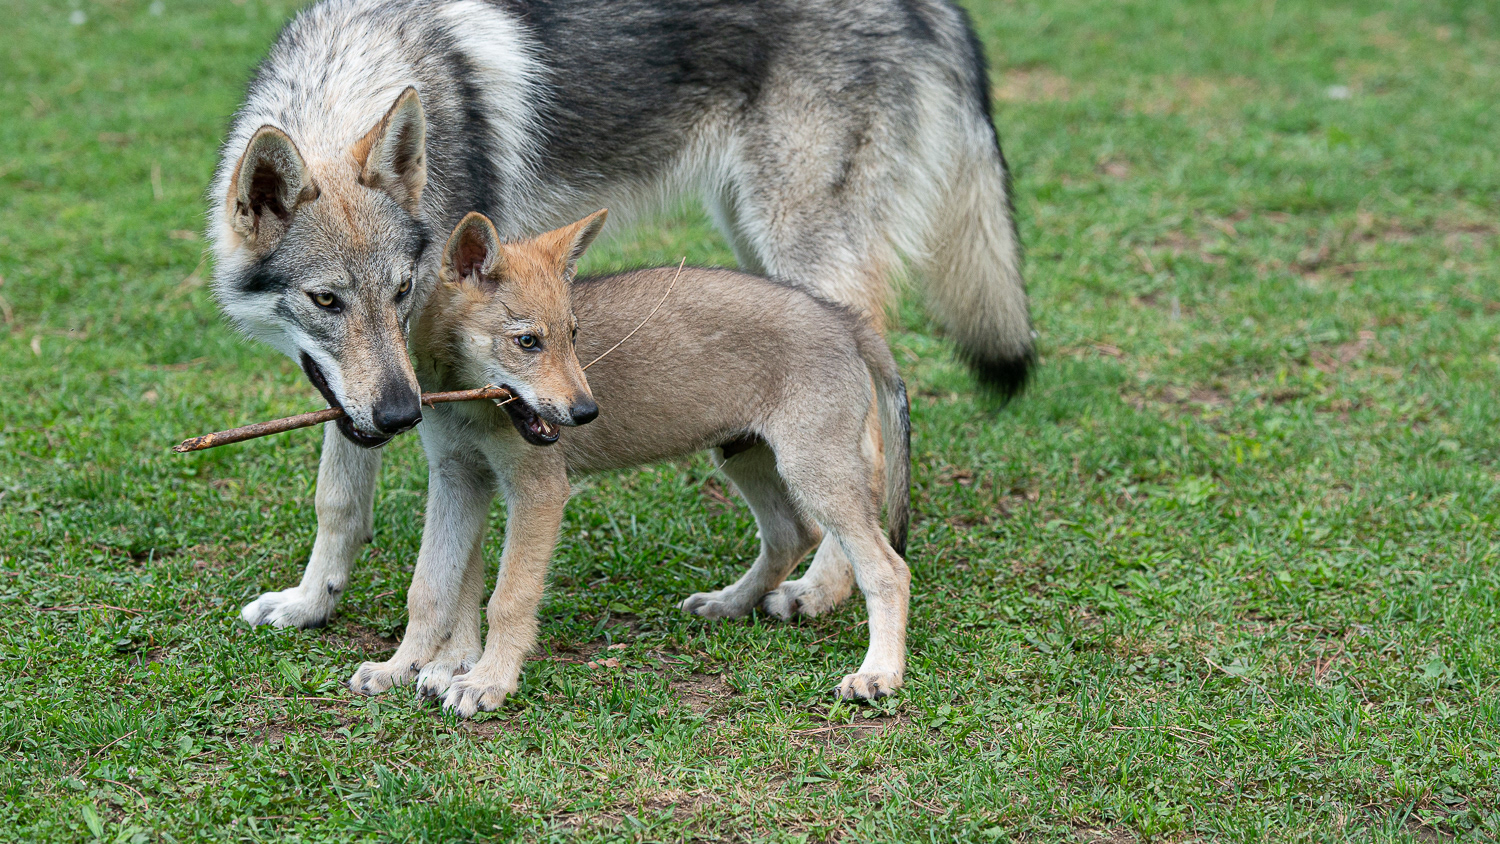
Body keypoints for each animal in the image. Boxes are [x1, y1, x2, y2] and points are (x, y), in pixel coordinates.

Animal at [211, 0, 1029, 633]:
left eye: (403, 291)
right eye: (326, 301)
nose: (402, 417)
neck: (358, 73)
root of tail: (932, 7)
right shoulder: (361, 391)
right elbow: (340, 498)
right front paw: (311, 602)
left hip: (804, 254)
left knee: (867, 455)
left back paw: (825, 590)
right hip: (758, 253)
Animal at [342, 209, 912, 715]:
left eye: (573, 335)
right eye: (527, 341)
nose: (586, 412)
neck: (468, 404)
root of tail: (846, 319)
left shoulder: (538, 491)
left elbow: (509, 596)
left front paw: (489, 682)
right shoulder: (456, 479)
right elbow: (429, 588)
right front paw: (400, 668)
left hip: (814, 473)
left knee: (887, 568)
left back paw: (878, 673)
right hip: (745, 458)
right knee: (792, 535)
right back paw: (729, 604)